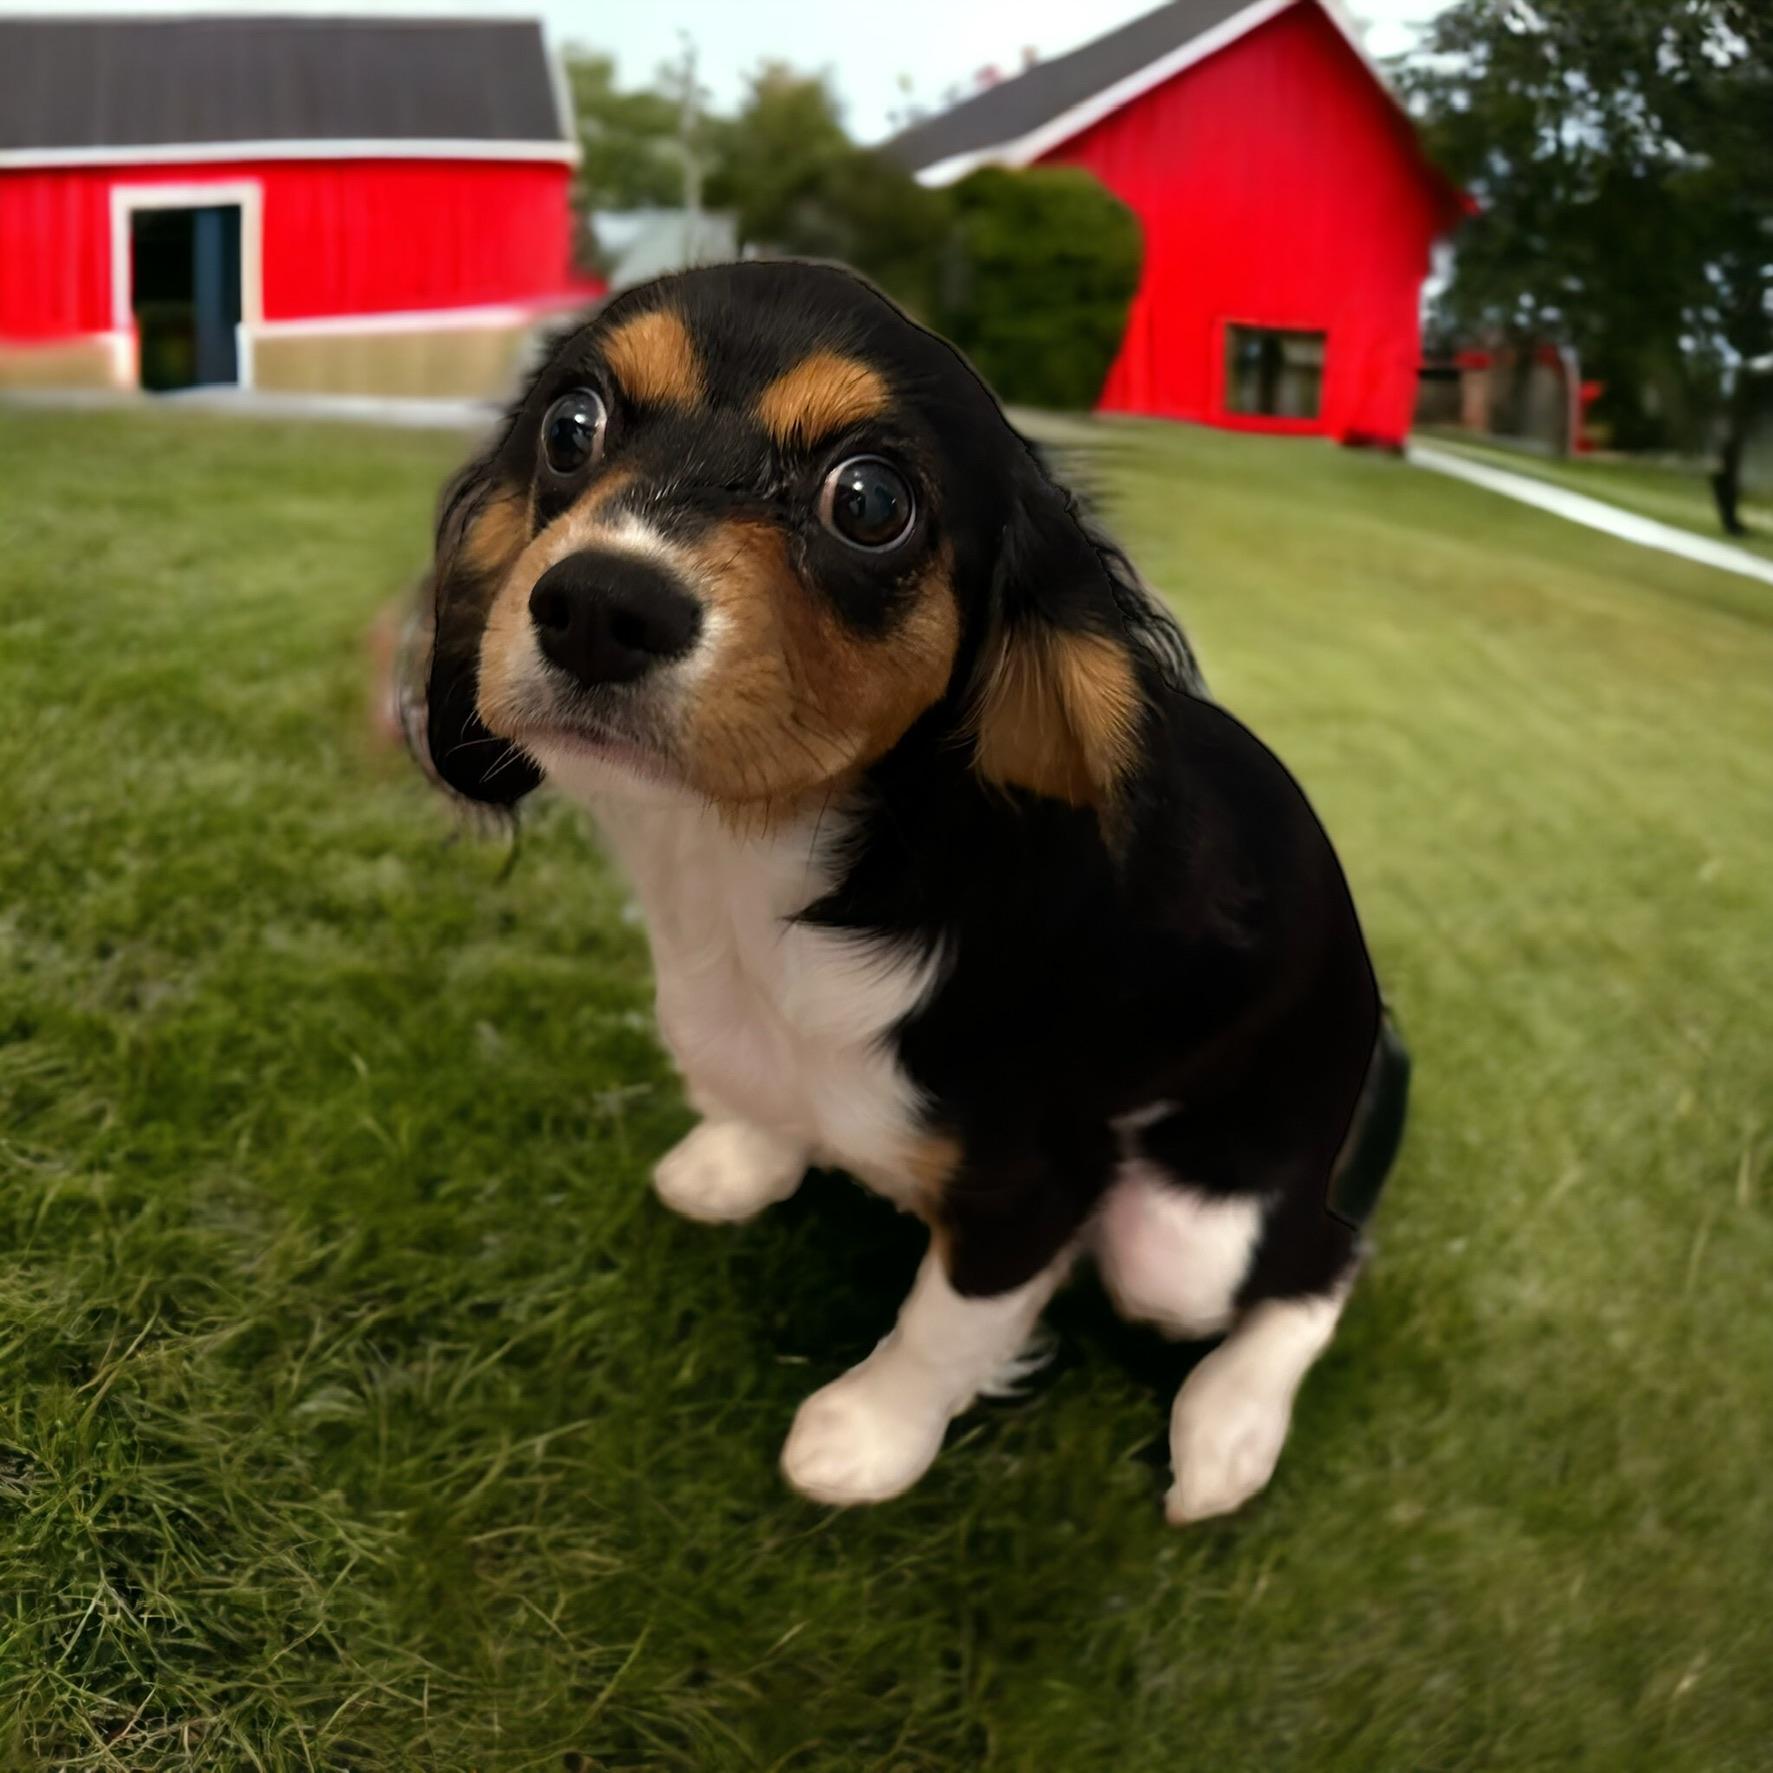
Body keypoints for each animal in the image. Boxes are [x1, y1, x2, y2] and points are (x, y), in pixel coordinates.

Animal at [402, 261, 1408, 1524]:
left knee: (1324, 1260)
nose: (598, 606)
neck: (752, 865)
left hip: (1186, 1243)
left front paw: (867, 1438)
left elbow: (943, 1328)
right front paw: (741, 1161)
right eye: (570, 427)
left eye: (871, 501)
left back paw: (1229, 1429)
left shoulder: (1038, 1182)